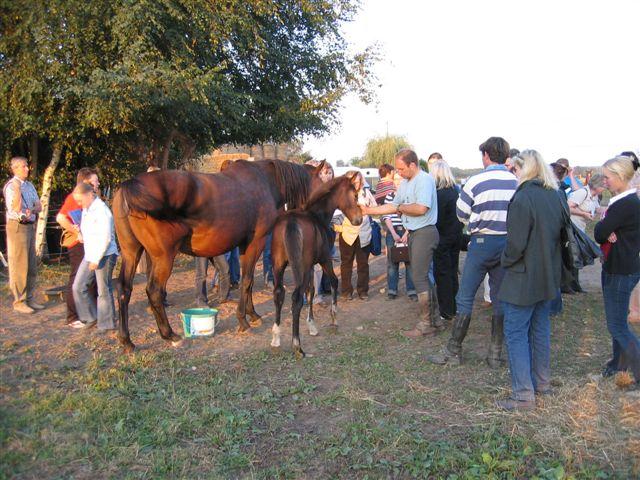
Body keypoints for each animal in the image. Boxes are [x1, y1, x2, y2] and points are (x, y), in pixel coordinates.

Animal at [113, 159, 322, 350]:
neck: (264, 181)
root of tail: (130, 184)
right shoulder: (257, 242)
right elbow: (247, 279)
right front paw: (243, 320)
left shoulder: (244, 245)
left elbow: (248, 281)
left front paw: (252, 313)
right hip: (163, 257)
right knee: (154, 291)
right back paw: (170, 334)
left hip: (131, 252)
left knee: (124, 289)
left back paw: (126, 340)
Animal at [268, 174, 362, 358]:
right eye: (355, 195)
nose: (359, 220)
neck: (318, 216)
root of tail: (290, 223)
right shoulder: (324, 260)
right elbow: (333, 282)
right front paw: (334, 318)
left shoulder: (310, 265)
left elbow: (310, 290)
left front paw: (312, 325)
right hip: (301, 265)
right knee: (296, 297)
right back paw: (297, 346)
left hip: (278, 264)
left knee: (279, 293)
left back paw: (276, 338)